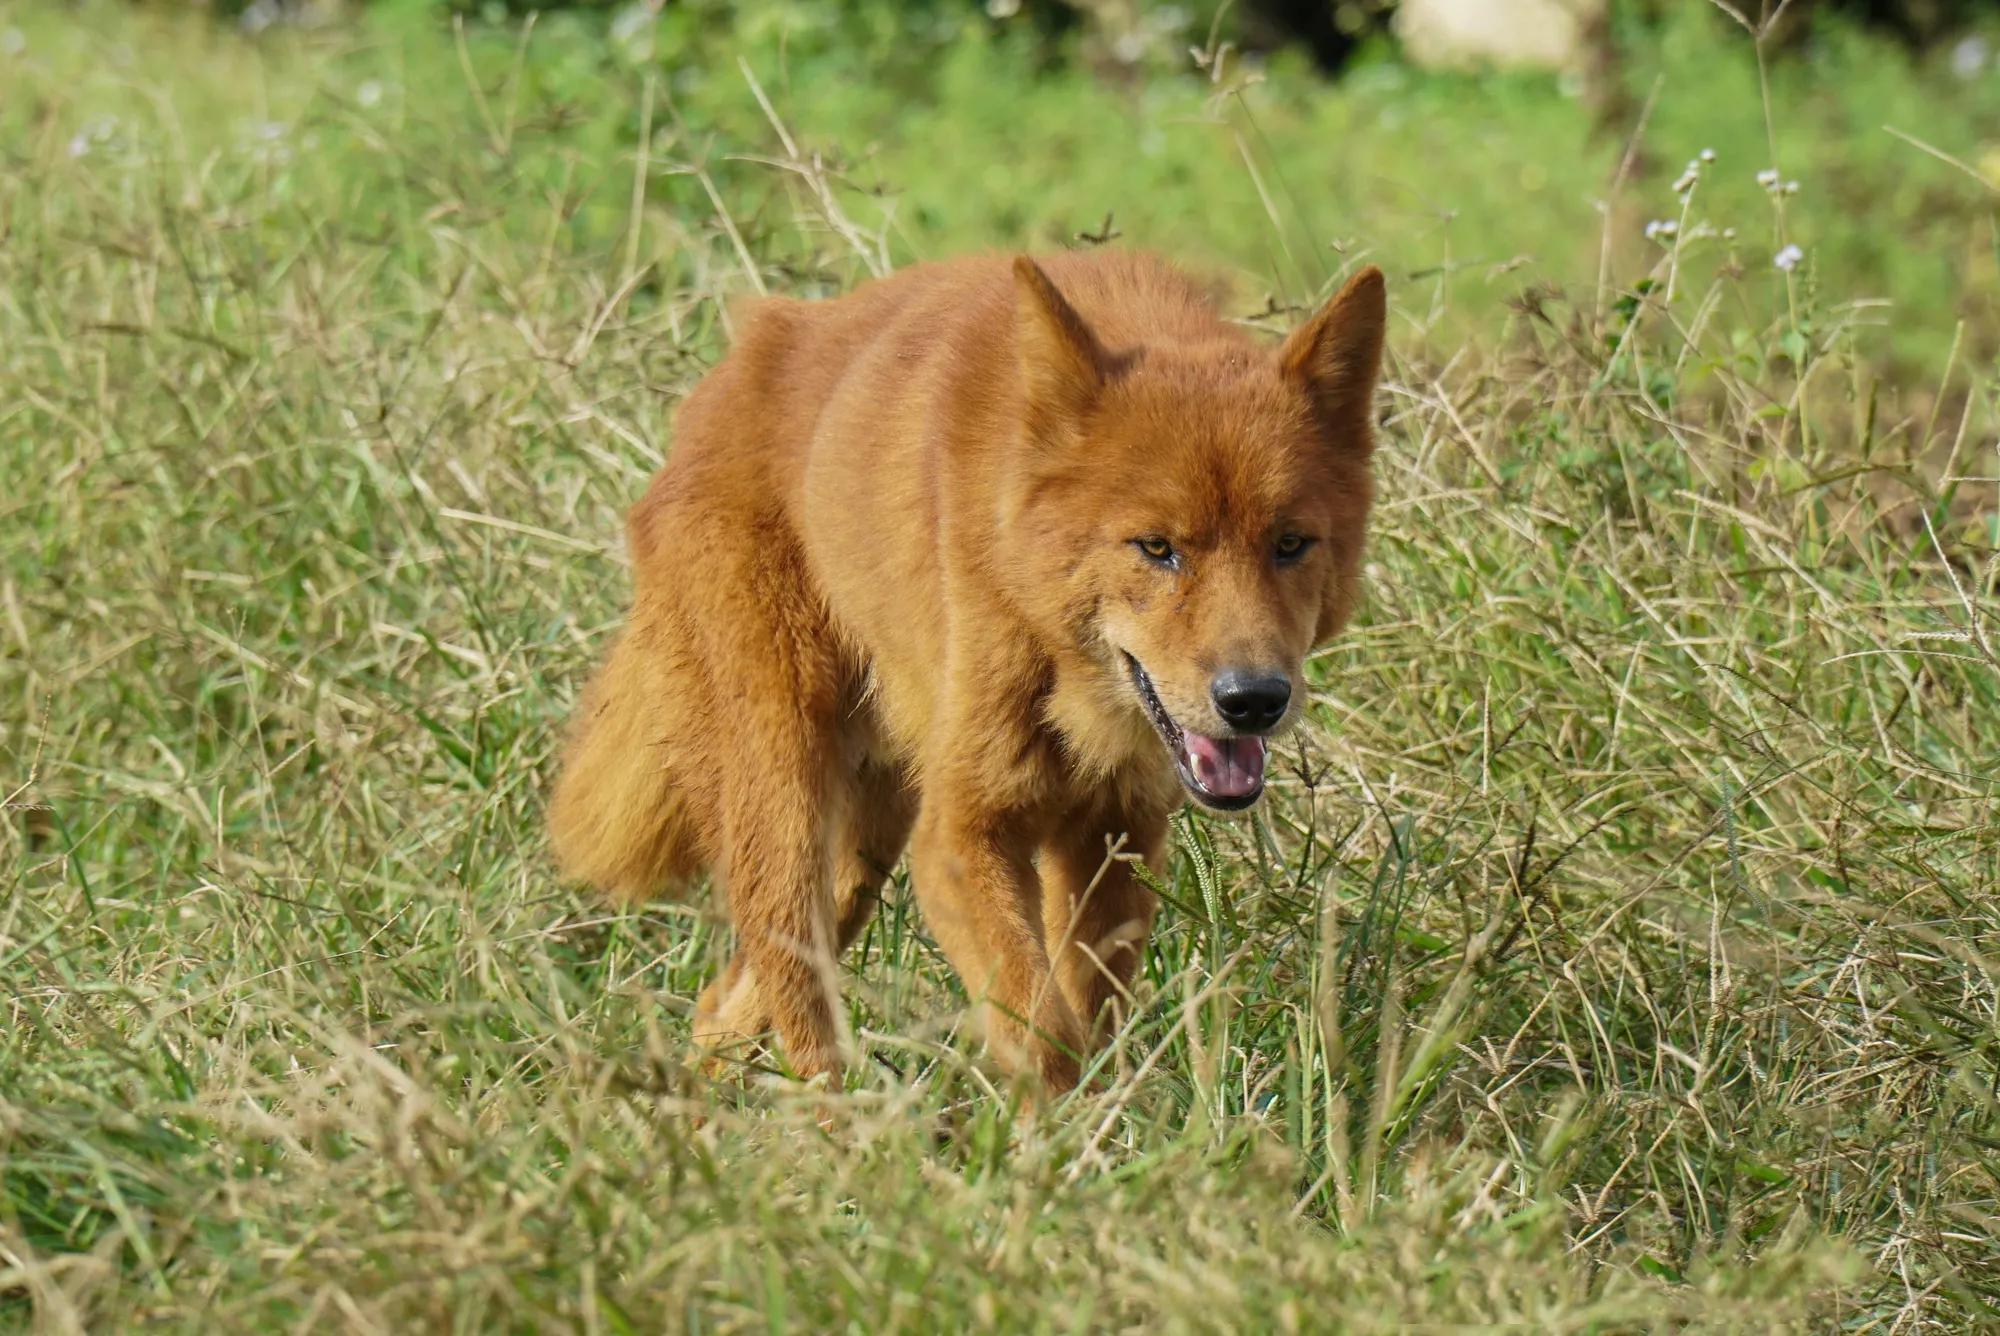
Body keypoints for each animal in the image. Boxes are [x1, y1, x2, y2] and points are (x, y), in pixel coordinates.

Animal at [556, 253, 1384, 1096]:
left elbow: (1089, 1020)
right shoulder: (960, 838)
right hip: (787, 802)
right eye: (1157, 548)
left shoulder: (1113, 839)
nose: (1253, 700)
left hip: (862, 855)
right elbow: (1044, 1031)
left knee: (722, 1007)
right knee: (797, 1005)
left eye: (1290, 544)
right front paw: (1062, 1132)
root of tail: (724, 379)